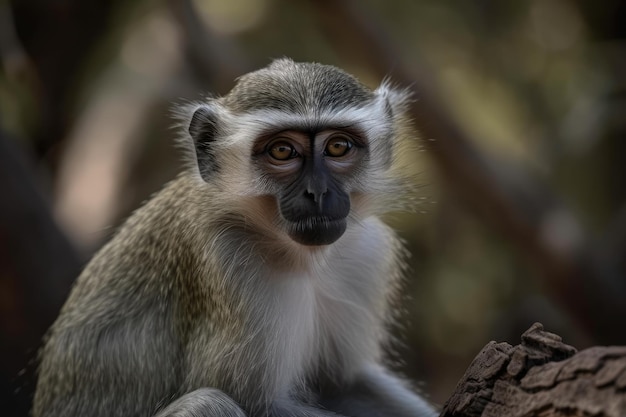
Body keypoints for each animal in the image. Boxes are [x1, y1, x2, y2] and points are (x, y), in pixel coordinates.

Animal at [34, 58, 434, 416]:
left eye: (338, 147)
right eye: (282, 151)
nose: (317, 192)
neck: (299, 256)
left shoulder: (366, 253)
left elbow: (343, 384)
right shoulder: (230, 261)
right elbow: (256, 403)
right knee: (209, 404)